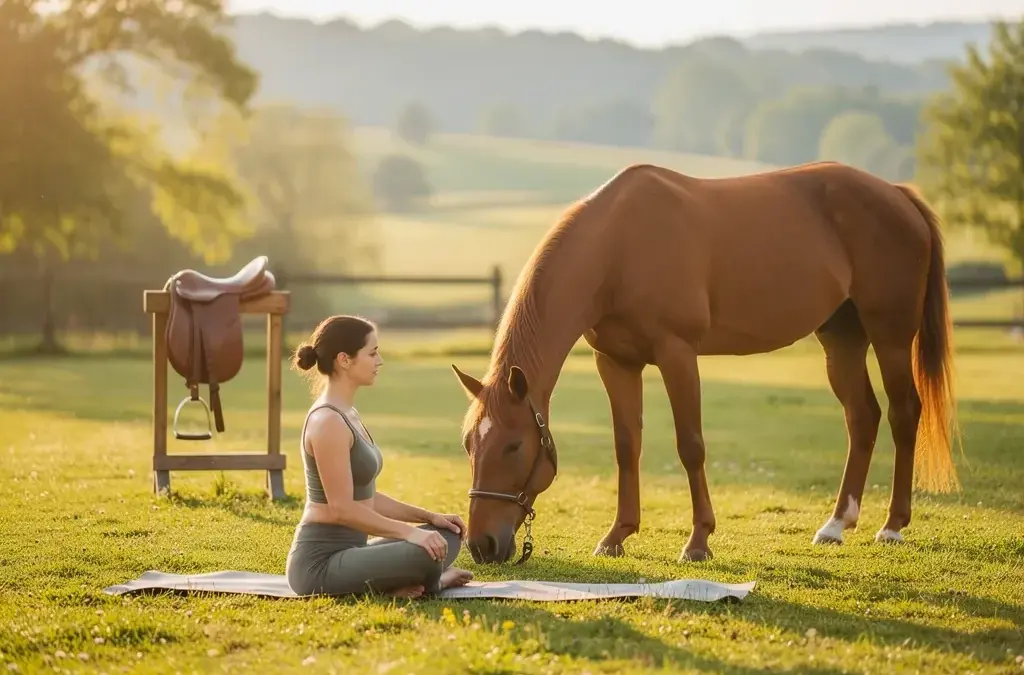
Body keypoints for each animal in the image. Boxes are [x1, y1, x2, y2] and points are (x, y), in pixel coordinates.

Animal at [451, 161, 961, 565]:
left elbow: (690, 445)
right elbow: (626, 446)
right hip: (842, 339)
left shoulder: (677, 354)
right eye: (469, 445)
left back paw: (892, 526)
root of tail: (897, 194)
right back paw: (835, 525)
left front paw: (698, 542)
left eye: (514, 446)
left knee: (903, 413)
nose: (481, 545)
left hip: (890, 336)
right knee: (862, 417)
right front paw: (617, 536)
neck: (617, 247)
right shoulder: (615, 362)